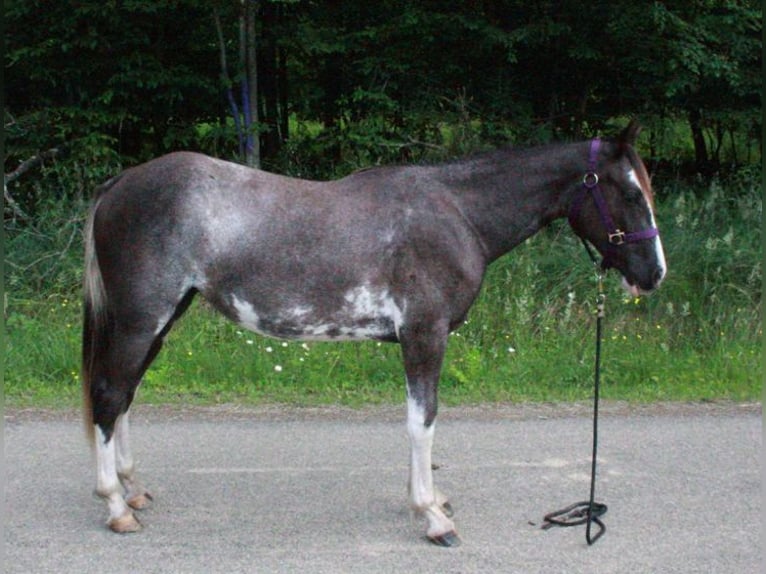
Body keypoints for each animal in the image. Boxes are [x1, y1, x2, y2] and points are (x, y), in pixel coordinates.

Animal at [82, 120, 665, 546]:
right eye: (630, 193)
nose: (654, 273)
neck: (457, 214)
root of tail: (119, 184)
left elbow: (418, 423)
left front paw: (428, 498)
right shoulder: (425, 335)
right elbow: (422, 422)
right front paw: (433, 517)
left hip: (161, 319)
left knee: (126, 395)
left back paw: (133, 491)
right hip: (140, 320)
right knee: (110, 395)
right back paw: (115, 505)